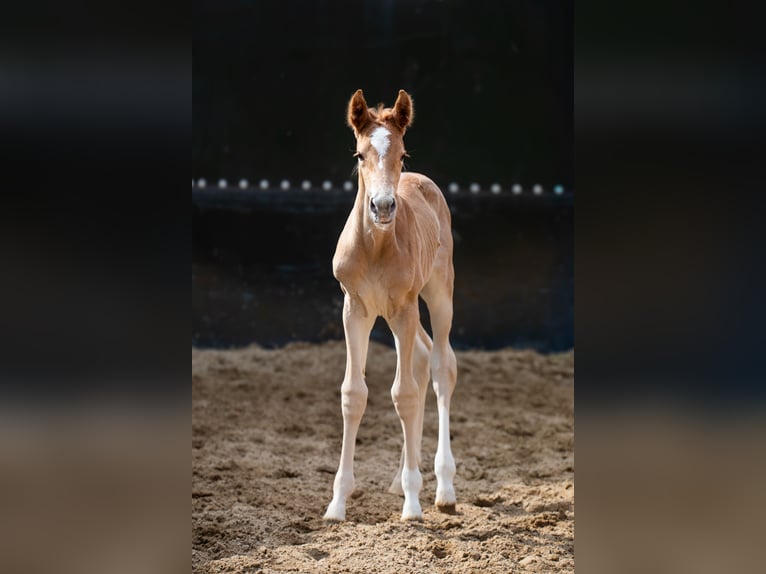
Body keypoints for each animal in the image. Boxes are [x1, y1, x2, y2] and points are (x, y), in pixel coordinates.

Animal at [323, 89, 458, 521]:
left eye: (402, 154)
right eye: (360, 154)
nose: (382, 207)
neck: (376, 247)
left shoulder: (403, 308)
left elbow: (405, 395)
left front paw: (413, 506)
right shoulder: (355, 308)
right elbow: (354, 394)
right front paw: (337, 503)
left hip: (436, 294)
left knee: (440, 368)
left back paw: (443, 487)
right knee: (422, 361)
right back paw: (401, 480)